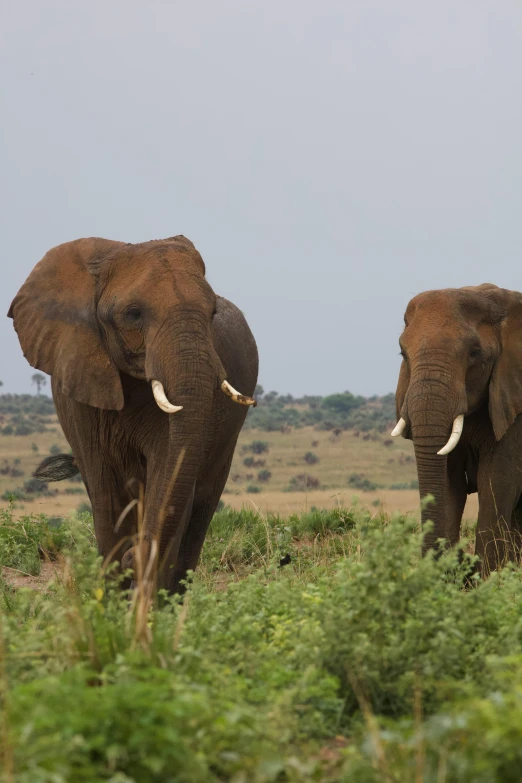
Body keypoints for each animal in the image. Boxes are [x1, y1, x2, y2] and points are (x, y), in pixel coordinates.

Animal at [8, 236, 258, 592]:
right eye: (134, 314)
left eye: (212, 313)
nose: (132, 557)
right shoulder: (81, 394)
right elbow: (106, 491)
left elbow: (168, 477)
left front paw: (147, 599)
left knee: (201, 506)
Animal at [390, 284, 522, 576]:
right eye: (403, 353)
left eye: (474, 353)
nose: (460, 563)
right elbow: (449, 483)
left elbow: (495, 480)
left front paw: (488, 581)